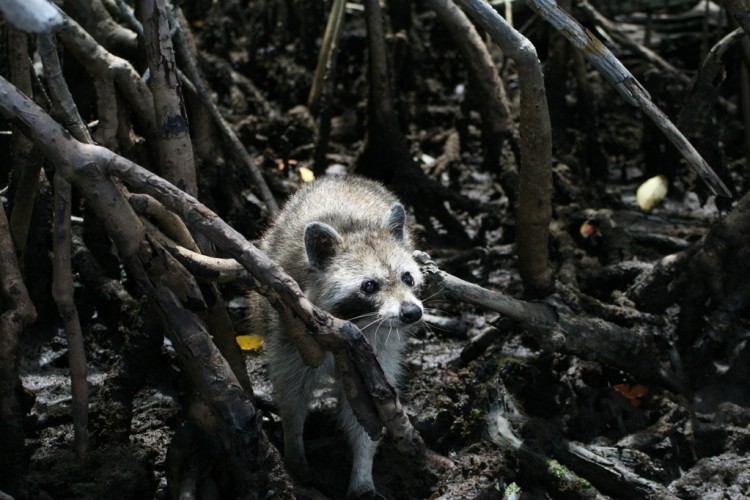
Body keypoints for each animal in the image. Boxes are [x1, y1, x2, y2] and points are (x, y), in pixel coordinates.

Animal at [253, 176, 426, 496]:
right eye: (369, 286)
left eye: (407, 277)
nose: (412, 313)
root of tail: (343, 177)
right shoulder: (293, 334)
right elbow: (292, 394)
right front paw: (293, 445)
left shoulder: (375, 352)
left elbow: (370, 410)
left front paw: (363, 469)